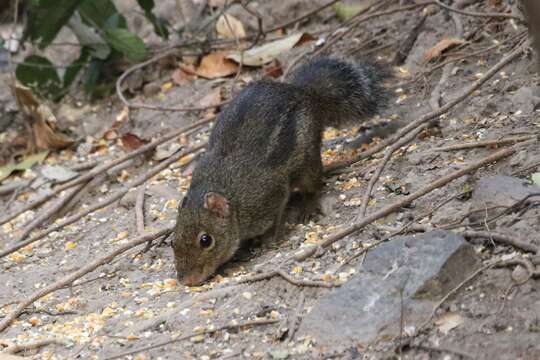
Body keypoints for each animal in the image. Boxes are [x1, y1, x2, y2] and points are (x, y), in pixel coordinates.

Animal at [172, 56, 388, 286]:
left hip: (307, 163)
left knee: (315, 184)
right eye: (172, 241)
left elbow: (277, 217)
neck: (229, 193)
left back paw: (307, 208)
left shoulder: (271, 194)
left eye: (206, 240)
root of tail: (305, 92)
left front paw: (269, 240)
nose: (185, 280)